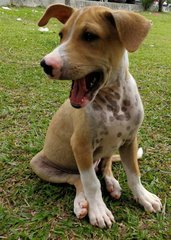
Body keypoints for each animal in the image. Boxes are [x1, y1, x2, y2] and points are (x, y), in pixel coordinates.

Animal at [30, 4, 162, 228]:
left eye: (89, 36)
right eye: (61, 35)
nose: (46, 64)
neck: (112, 99)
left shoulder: (130, 140)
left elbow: (134, 173)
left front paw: (144, 197)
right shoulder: (81, 145)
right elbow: (91, 183)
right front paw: (99, 210)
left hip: (110, 148)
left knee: (105, 166)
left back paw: (112, 184)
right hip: (41, 164)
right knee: (77, 179)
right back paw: (82, 202)